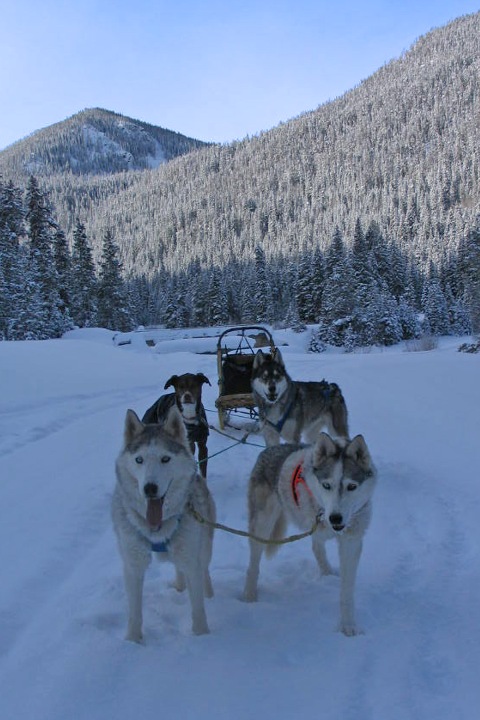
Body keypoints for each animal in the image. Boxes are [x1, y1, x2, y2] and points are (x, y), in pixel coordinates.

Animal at [111, 404, 215, 640]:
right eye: (139, 460)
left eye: (165, 459)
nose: (149, 489)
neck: (157, 529)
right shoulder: (133, 564)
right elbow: (134, 612)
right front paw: (132, 641)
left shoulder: (191, 559)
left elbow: (198, 608)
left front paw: (202, 637)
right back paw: (179, 587)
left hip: (202, 545)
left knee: (204, 569)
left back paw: (209, 593)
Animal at [244, 430, 376, 632]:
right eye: (326, 485)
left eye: (352, 486)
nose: (335, 518)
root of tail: (270, 449)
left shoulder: (351, 542)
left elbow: (346, 592)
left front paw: (348, 625)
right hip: (262, 526)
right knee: (253, 565)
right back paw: (249, 596)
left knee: (317, 547)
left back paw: (327, 571)